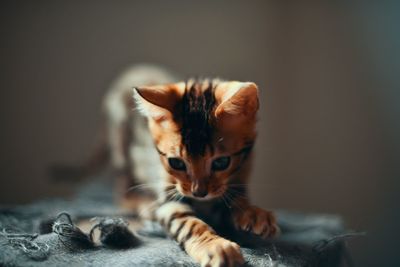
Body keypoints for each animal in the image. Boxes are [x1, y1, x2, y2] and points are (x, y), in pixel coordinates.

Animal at [102, 65, 278, 267]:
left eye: (221, 162)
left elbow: (235, 198)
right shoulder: (169, 197)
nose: (198, 193)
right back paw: (142, 204)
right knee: (123, 187)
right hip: (121, 142)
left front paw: (253, 212)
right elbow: (187, 223)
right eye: (176, 163)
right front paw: (214, 246)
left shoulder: (243, 171)